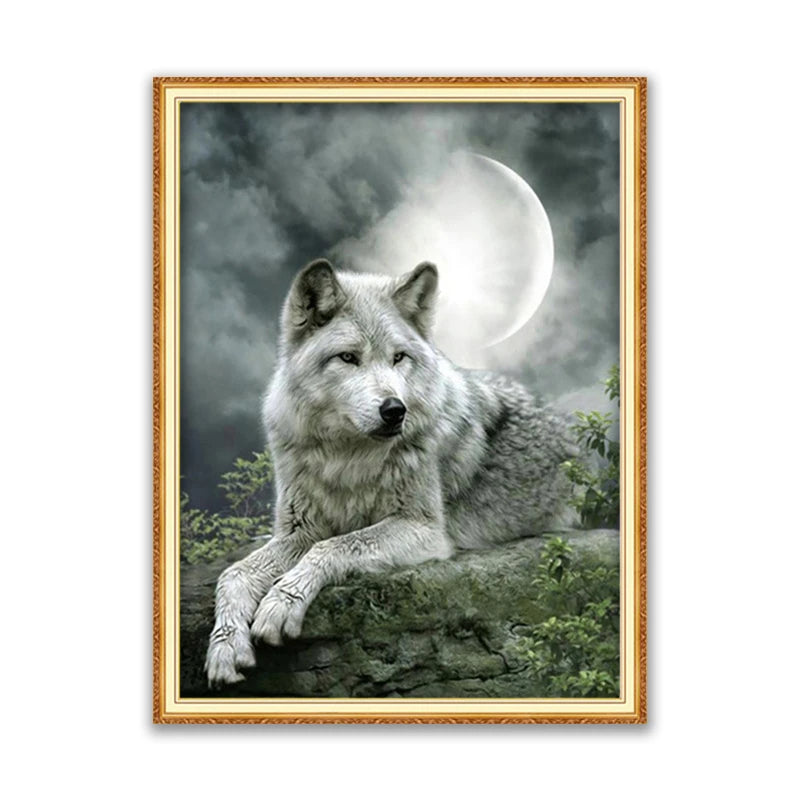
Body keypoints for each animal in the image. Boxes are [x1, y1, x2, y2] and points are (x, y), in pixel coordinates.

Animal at [205, 258, 576, 687]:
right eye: (348, 358)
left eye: (399, 357)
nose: (395, 410)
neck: (347, 458)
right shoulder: (299, 531)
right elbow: (233, 573)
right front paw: (225, 647)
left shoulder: (423, 529)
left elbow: (334, 546)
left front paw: (281, 603)